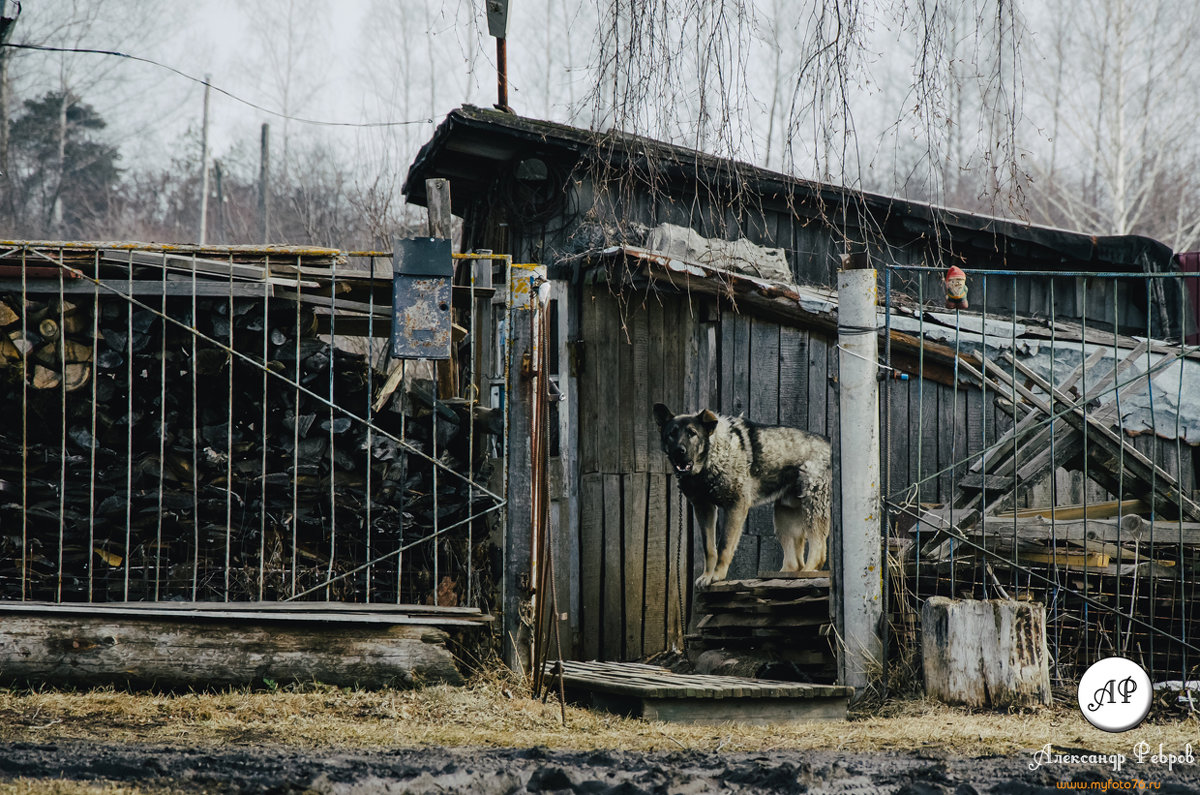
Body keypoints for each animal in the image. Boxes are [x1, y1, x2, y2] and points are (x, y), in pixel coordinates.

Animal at [652, 405, 830, 586]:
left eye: (692, 433)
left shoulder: (735, 505)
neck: (712, 456)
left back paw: (809, 570)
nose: (679, 451)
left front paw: (717, 575)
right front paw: (707, 575)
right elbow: (709, 548)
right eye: (672, 434)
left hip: (812, 507)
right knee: (795, 562)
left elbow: (724, 545)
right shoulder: (704, 509)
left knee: (819, 547)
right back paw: (783, 575)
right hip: (784, 517)